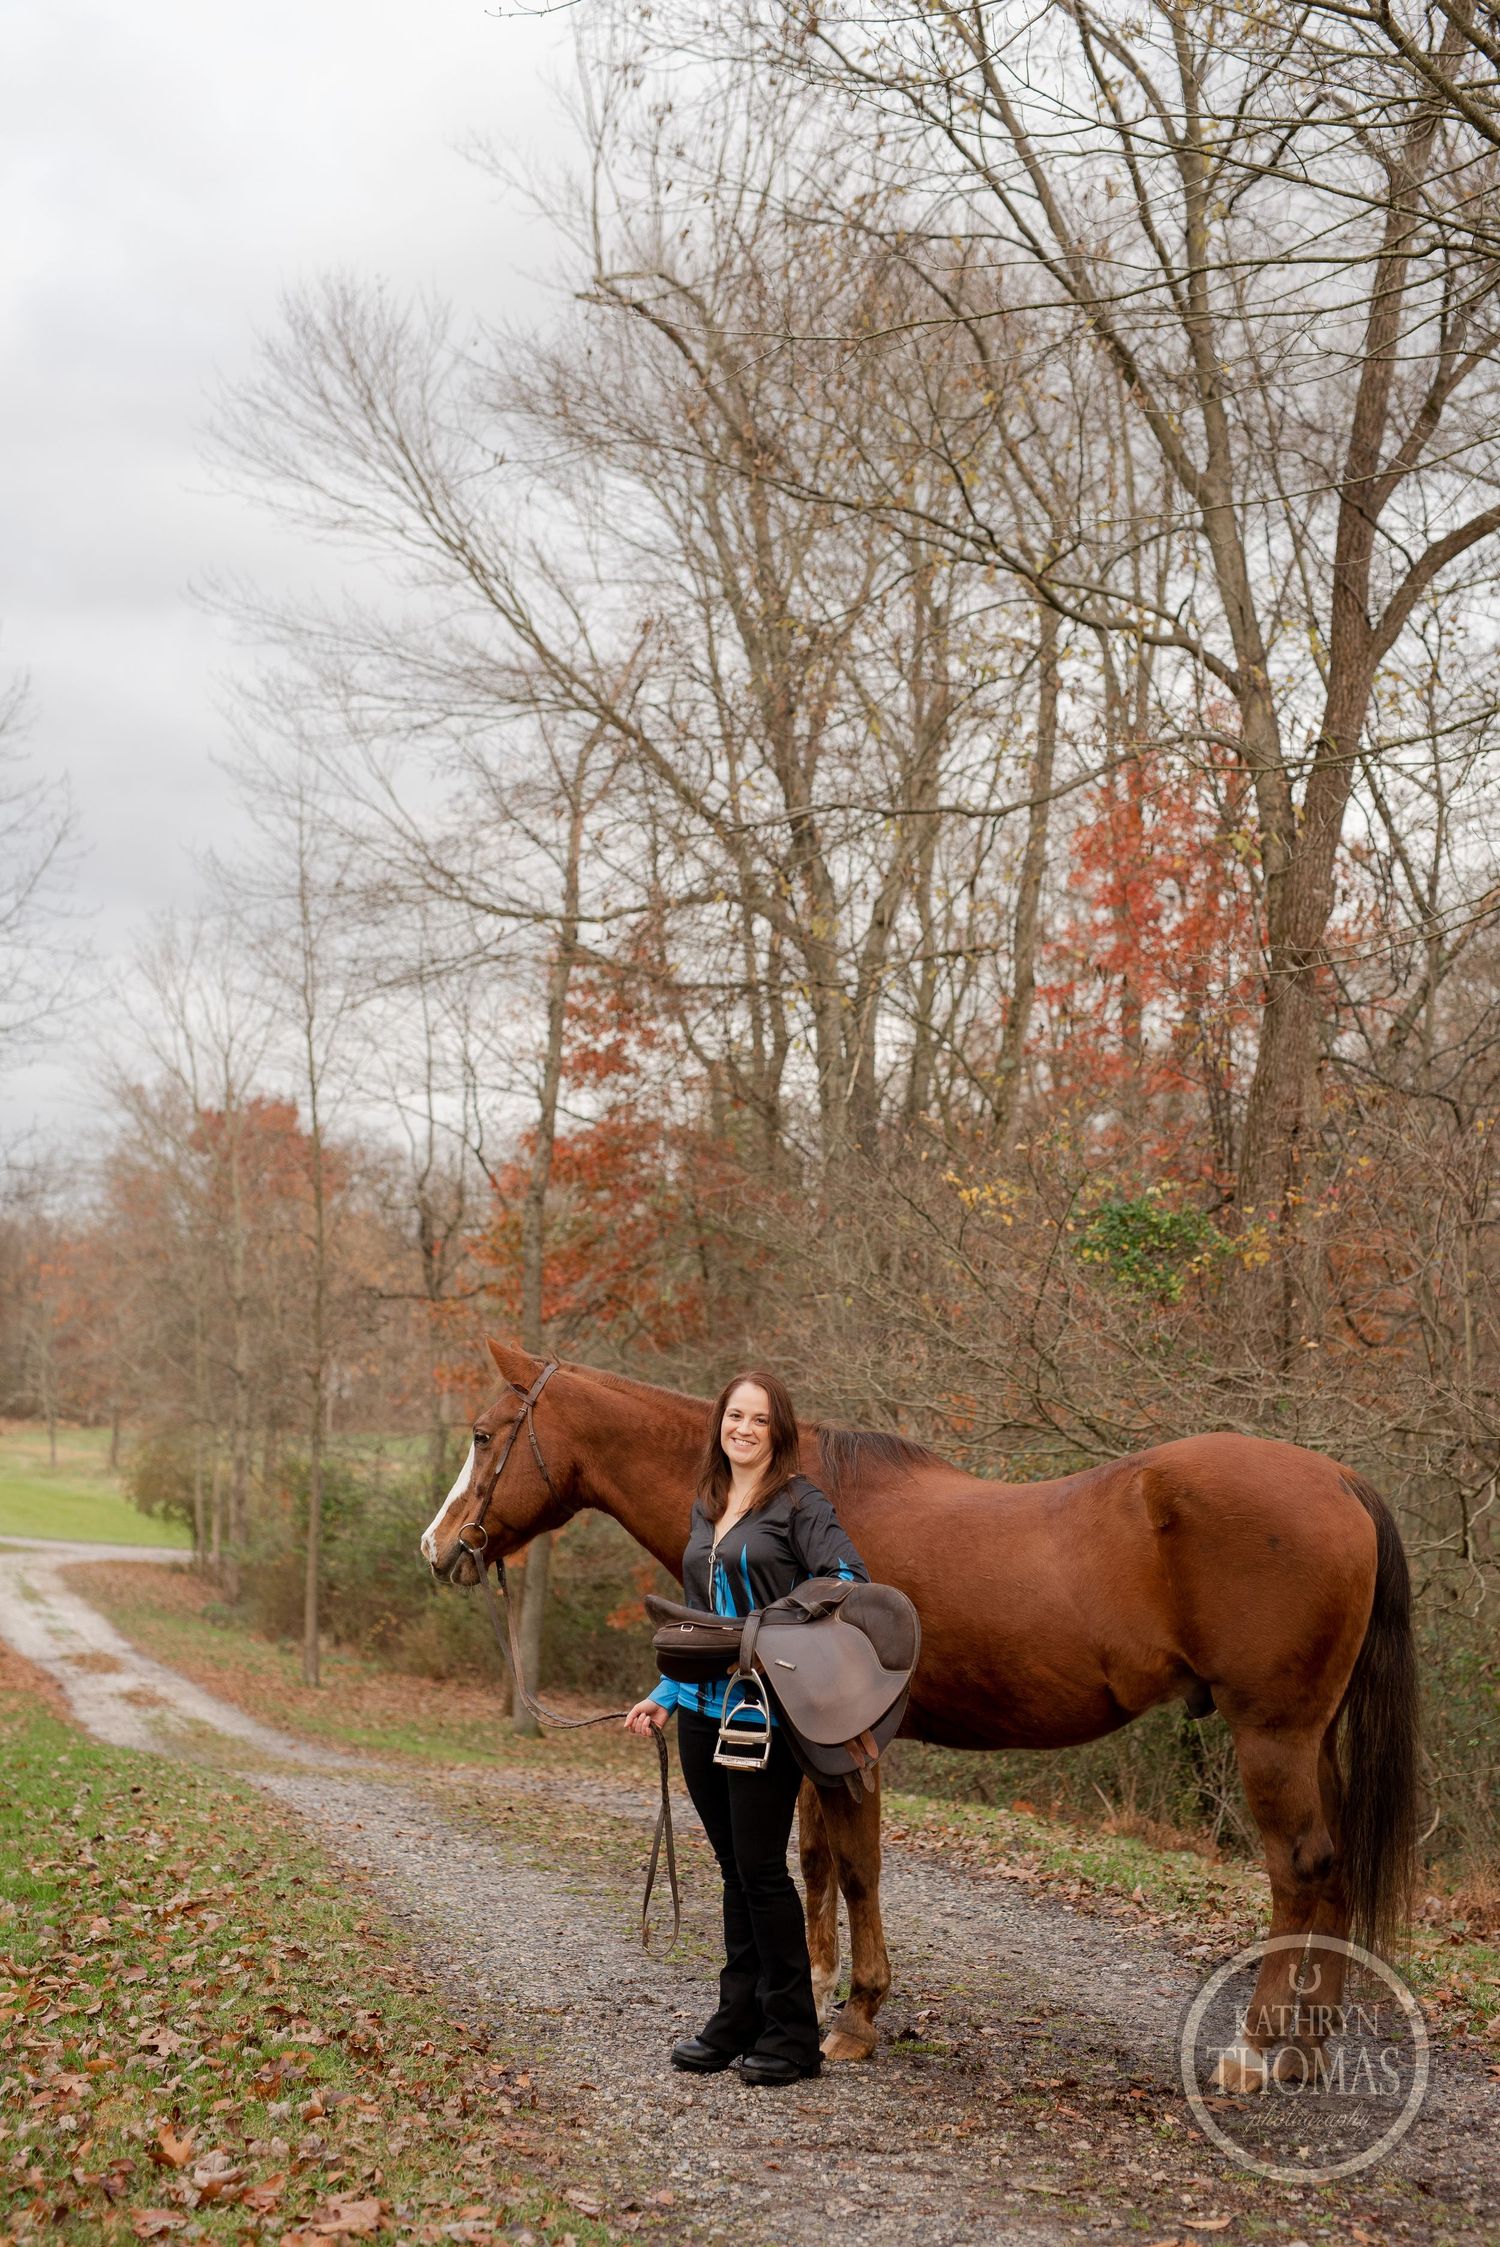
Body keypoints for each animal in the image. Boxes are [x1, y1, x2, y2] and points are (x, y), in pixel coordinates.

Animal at [421, 1340, 1419, 2086]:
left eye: (483, 1433)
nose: (437, 1548)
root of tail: (1339, 1479)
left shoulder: (854, 1747)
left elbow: (860, 1867)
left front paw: (855, 2017)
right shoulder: (801, 1741)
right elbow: (816, 1860)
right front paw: (817, 1983)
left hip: (1270, 1736)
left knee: (1300, 1868)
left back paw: (1256, 2049)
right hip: (1310, 1738)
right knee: (1331, 1870)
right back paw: (1306, 2049)